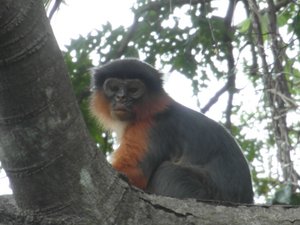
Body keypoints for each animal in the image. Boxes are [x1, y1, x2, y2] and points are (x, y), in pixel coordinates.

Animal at [89, 58, 253, 204]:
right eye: (114, 88)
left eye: (133, 90)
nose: (121, 97)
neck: (151, 111)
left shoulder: (149, 128)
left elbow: (133, 174)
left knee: (167, 171)